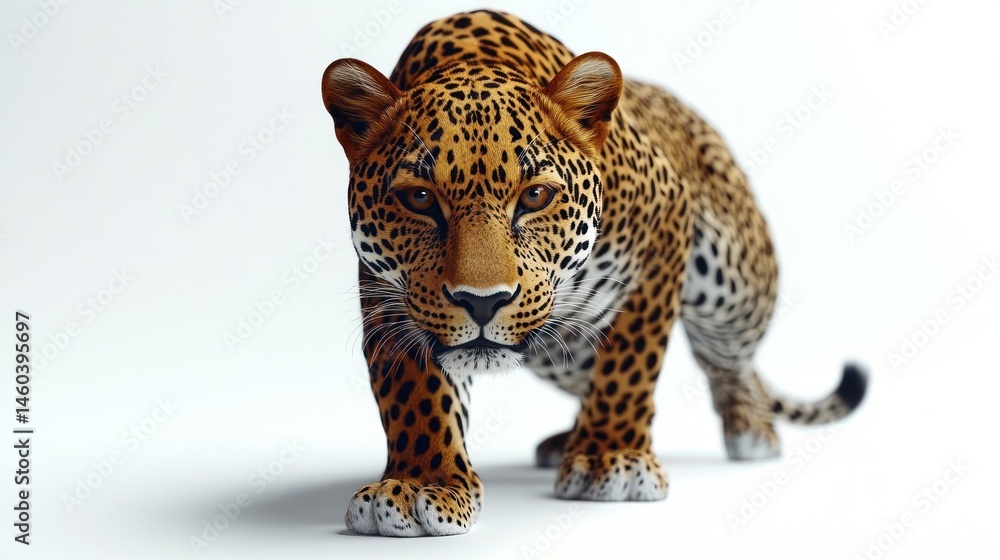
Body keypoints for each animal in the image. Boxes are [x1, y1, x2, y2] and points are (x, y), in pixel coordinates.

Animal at [319, 9, 868, 536]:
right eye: (419, 198)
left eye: (536, 196)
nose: (482, 301)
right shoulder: (390, 292)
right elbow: (415, 393)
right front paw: (419, 484)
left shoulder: (665, 221)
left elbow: (630, 361)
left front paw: (612, 458)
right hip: (557, 351)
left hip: (735, 285)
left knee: (729, 361)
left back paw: (749, 426)